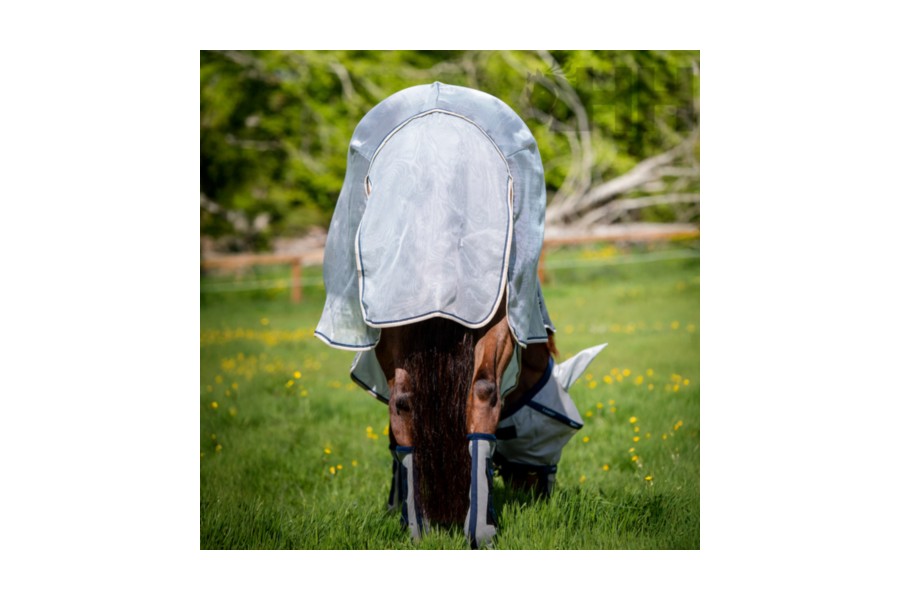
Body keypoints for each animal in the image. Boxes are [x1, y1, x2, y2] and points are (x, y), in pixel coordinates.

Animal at [315, 82, 605, 548]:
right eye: (562, 428)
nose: (540, 491)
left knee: (418, 400)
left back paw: (435, 526)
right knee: (466, 394)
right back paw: (469, 527)